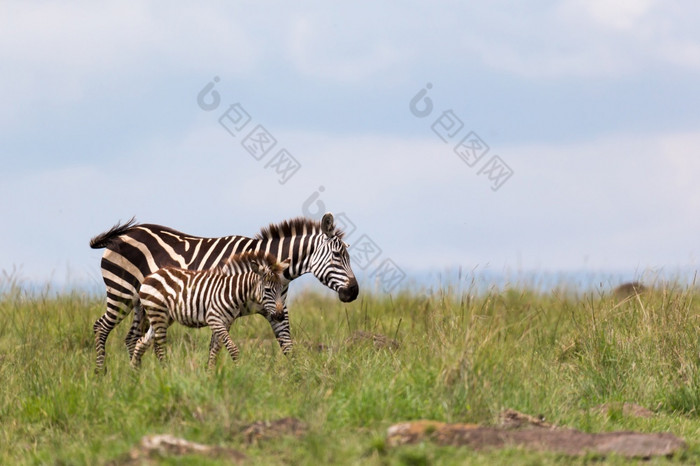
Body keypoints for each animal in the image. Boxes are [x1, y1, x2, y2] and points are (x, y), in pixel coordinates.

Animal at [131, 251, 290, 372]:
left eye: (281, 289)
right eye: (267, 290)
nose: (280, 316)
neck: (232, 292)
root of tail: (150, 275)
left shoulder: (225, 323)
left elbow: (214, 350)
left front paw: (210, 375)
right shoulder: (214, 319)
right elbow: (232, 348)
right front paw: (239, 371)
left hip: (162, 317)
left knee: (141, 342)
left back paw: (134, 375)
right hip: (158, 313)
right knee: (159, 347)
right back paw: (165, 372)